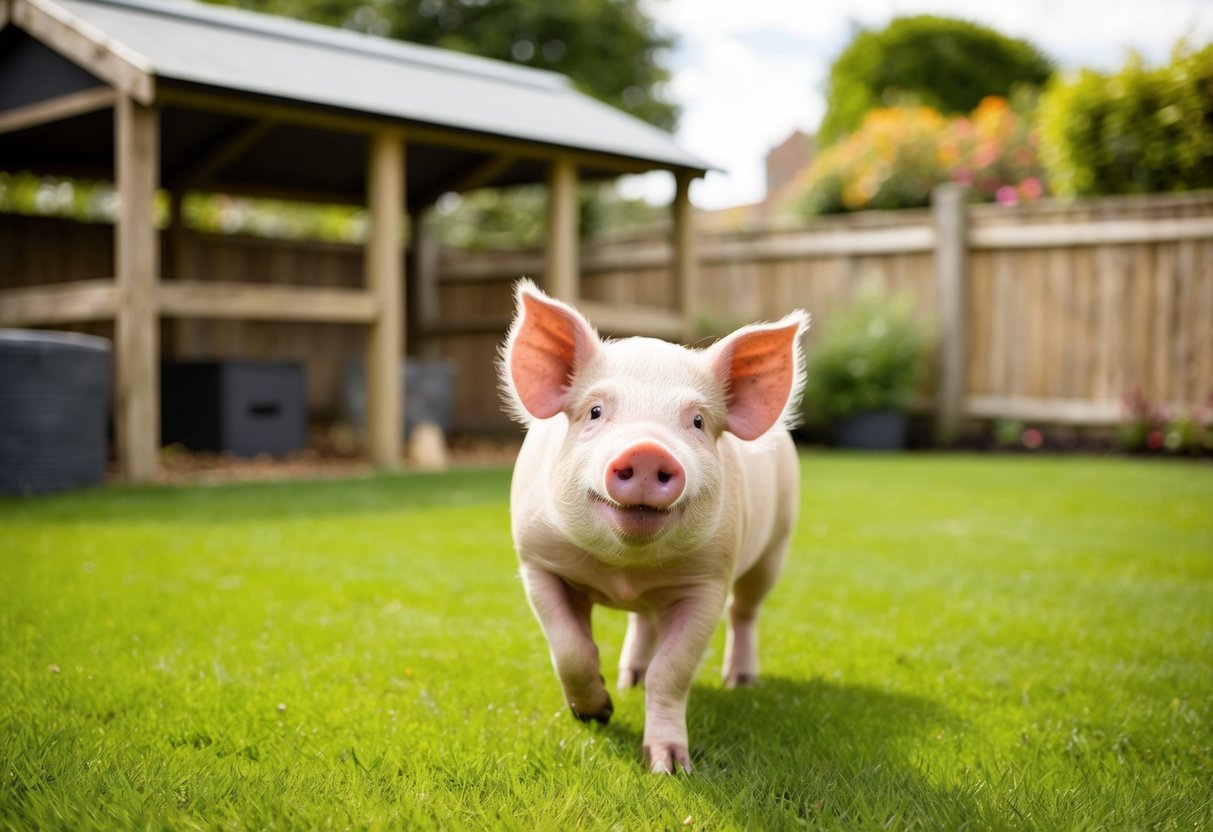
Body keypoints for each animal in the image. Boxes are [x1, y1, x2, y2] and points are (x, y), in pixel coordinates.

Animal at [499, 279, 808, 774]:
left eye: (698, 421)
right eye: (595, 412)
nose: (647, 449)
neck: (628, 571)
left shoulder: (707, 581)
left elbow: (673, 671)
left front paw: (669, 767)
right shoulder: (537, 561)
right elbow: (568, 648)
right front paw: (597, 714)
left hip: (775, 544)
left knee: (743, 611)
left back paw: (740, 682)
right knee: (643, 621)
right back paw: (629, 680)